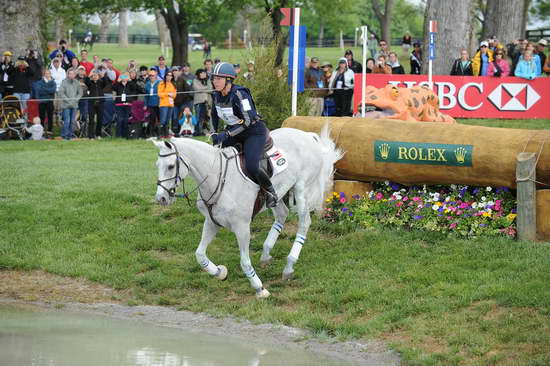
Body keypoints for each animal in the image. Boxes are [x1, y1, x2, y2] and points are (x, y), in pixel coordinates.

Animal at [153, 124, 342, 298]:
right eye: (157, 165)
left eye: (170, 166)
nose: (161, 198)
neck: (217, 178)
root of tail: (309, 136)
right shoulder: (212, 222)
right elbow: (200, 255)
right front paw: (219, 272)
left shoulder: (242, 227)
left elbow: (244, 261)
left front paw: (260, 288)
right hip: (278, 193)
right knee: (282, 214)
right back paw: (266, 254)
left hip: (300, 188)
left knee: (304, 222)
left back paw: (289, 265)